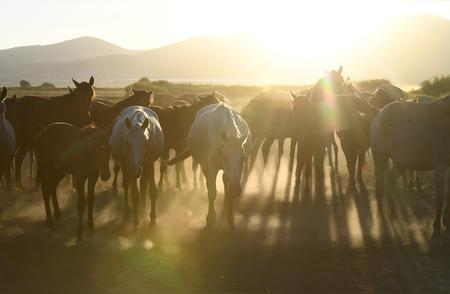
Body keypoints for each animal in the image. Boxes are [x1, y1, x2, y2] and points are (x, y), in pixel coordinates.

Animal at [370, 95, 450, 238]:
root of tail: (379, 112)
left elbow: (449, 196)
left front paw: (446, 222)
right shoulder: (439, 166)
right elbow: (440, 196)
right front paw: (436, 227)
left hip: (400, 163)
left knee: (390, 180)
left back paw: (392, 213)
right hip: (380, 158)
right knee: (379, 186)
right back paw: (382, 217)